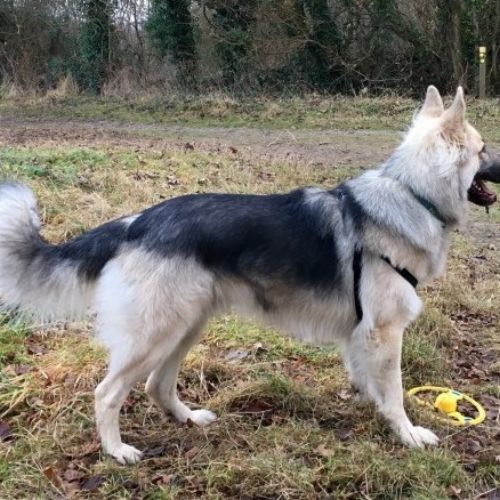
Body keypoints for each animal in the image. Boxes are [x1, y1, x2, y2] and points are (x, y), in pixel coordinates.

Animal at [0, 86, 497, 464]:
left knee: (157, 385)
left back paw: (187, 419)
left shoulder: (361, 335)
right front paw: (407, 433)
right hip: (156, 334)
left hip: (186, 325)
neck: (412, 195)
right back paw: (116, 450)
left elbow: (369, 383)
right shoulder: (385, 332)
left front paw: (372, 413)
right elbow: (393, 392)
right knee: (107, 393)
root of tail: (135, 222)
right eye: (483, 150)